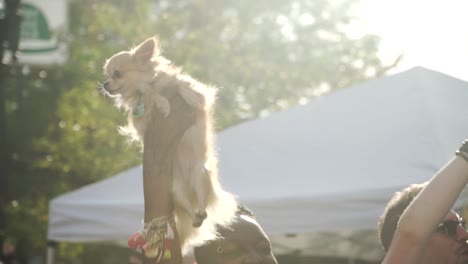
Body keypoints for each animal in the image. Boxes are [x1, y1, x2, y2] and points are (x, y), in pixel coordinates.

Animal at [100, 36, 236, 252]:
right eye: (106, 75)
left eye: (117, 74)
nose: (105, 84)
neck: (148, 86)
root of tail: (190, 188)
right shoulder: (141, 123)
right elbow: (150, 99)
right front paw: (162, 102)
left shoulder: (202, 97)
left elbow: (183, 85)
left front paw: (185, 95)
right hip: (176, 190)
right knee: (192, 210)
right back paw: (196, 217)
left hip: (200, 174)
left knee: (204, 203)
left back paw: (201, 210)